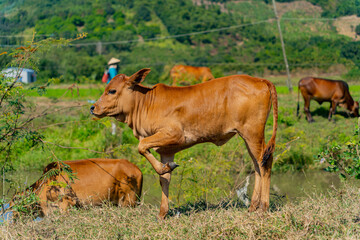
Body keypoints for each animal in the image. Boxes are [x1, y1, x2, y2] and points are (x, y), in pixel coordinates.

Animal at [90, 67, 278, 219]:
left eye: (112, 91)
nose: (93, 108)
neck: (144, 104)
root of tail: (261, 80)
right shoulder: (166, 151)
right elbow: (164, 178)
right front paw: (162, 213)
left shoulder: (174, 134)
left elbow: (141, 147)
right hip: (248, 137)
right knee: (257, 164)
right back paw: (253, 207)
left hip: (253, 133)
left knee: (265, 162)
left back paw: (263, 208)